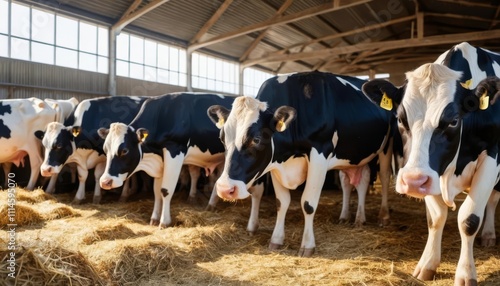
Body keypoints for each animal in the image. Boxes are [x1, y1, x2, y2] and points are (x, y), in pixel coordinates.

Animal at [97, 93, 266, 230]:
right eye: (105, 149)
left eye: (124, 150)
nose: (105, 182)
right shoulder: (160, 162)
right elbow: (156, 191)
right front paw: (154, 218)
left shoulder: (174, 151)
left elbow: (166, 190)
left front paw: (164, 222)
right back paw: (211, 204)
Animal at [207, 71, 394, 256]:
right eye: (222, 138)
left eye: (257, 139)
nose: (224, 189)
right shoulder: (276, 163)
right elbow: (281, 202)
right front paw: (276, 240)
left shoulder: (319, 154)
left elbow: (308, 203)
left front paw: (307, 245)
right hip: (353, 156)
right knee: (353, 182)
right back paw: (352, 217)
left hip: (386, 148)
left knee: (384, 177)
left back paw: (383, 217)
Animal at [362, 41, 500, 284]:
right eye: (400, 119)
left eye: (453, 121)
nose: (412, 181)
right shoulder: (433, 174)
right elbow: (435, 218)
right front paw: (427, 264)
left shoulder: (491, 159)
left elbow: (469, 219)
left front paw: (465, 273)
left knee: (492, 201)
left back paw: (489, 234)